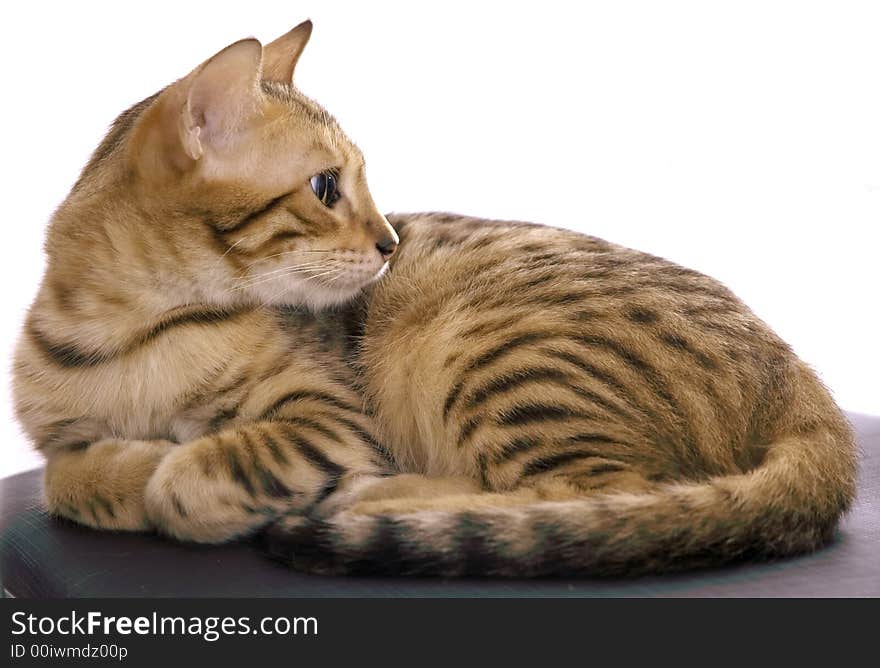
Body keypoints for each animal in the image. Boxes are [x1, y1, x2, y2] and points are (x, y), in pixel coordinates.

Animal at [12, 20, 852, 576]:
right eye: (326, 187)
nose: (390, 242)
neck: (134, 332)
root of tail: (804, 384)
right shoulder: (54, 436)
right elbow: (64, 476)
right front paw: (123, 471)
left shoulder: (334, 418)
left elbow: (209, 467)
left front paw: (166, 477)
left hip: (487, 352)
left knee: (606, 498)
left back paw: (374, 501)